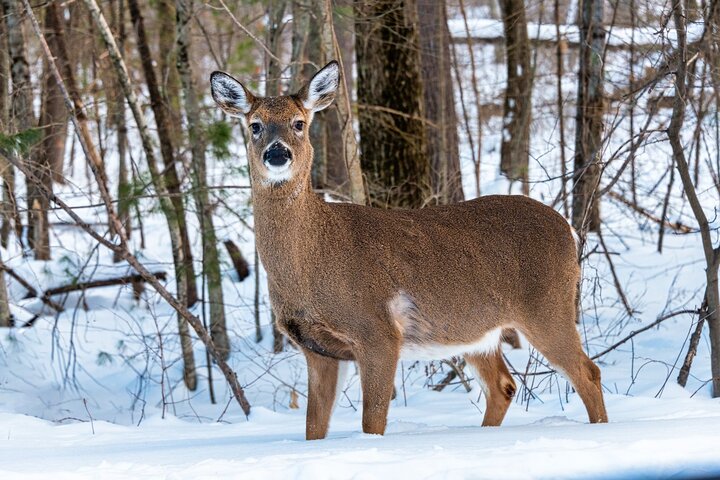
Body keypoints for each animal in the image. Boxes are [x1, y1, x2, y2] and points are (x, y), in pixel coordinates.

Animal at [210, 62, 608, 440]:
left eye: (299, 123)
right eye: (255, 126)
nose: (278, 153)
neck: (311, 262)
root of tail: (568, 229)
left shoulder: (378, 331)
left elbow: (372, 422)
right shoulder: (317, 349)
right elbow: (313, 429)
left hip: (547, 306)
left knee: (588, 372)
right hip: (479, 332)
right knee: (504, 386)